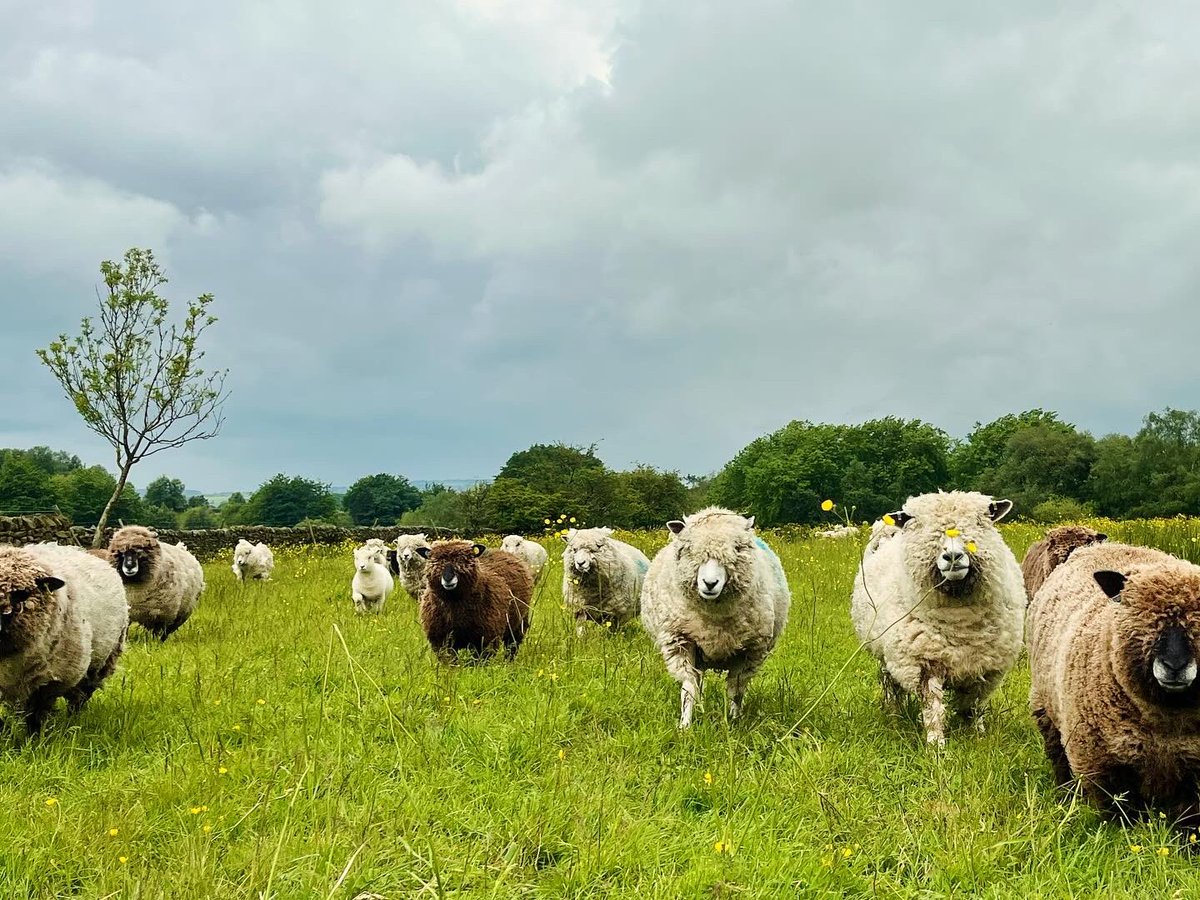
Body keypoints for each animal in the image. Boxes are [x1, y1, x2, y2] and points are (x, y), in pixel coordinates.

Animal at [0, 543, 128, 734]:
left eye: (22, 594)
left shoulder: (48, 683)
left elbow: (35, 716)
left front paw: (35, 738)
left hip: (100, 664)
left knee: (80, 697)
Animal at [640, 507, 791, 728]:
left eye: (737, 548)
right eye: (689, 549)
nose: (710, 583)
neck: (714, 617)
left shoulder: (748, 650)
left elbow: (736, 691)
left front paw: (735, 723)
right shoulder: (681, 641)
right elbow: (688, 689)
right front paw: (685, 726)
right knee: (697, 681)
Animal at [850, 491, 1023, 748]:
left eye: (980, 520)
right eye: (918, 523)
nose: (953, 556)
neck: (961, 622)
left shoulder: (986, 665)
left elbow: (973, 706)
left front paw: (977, 736)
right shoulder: (924, 661)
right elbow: (933, 708)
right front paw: (936, 745)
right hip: (885, 651)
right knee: (890, 685)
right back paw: (894, 716)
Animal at [1028, 541, 1200, 828]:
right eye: (1141, 614)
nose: (1175, 666)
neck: (1165, 722)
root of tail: (1103, 544)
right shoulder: (1101, 764)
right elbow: (1119, 817)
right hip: (1045, 710)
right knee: (1058, 759)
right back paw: (1064, 795)